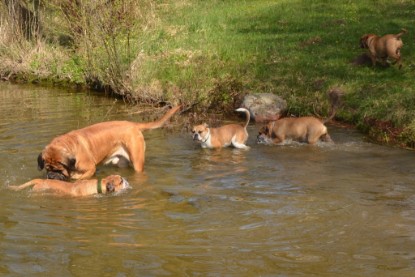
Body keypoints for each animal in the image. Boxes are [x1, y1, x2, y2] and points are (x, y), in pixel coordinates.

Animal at [38, 104, 181, 180]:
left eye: (59, 169)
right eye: (47, 169)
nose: (51, 176)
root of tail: (133, 125)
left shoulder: (90, 168)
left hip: (137, 161)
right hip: (121, 162)